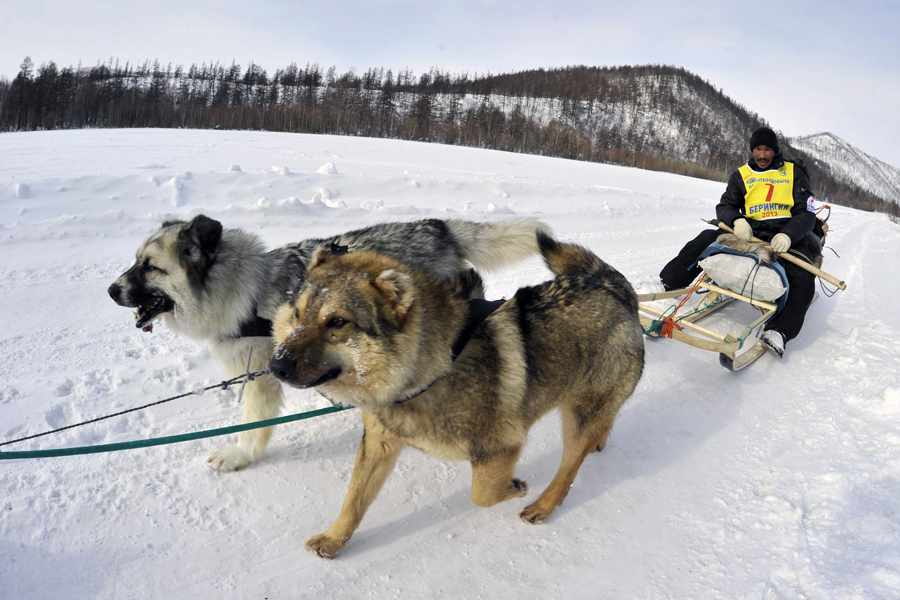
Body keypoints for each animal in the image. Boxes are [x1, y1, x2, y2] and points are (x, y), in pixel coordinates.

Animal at [110, 216, 548, 474]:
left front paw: (240, 455)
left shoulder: (260, 378)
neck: (243, 291)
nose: (111, 290)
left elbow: (253, 425)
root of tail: (437, 227)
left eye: (150, 267)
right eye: (135, 261)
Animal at [270, 231, 644, 556]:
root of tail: (615, 284)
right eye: (298, 314)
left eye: (337, 322)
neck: (436, 370)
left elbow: (482, 494)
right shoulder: (379, 442)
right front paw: (334, 539)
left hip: (579, 415)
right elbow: (354, 499)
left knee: (569, 468)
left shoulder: (501, 446)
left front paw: (513, 487)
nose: (276, 366)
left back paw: (542, 505)